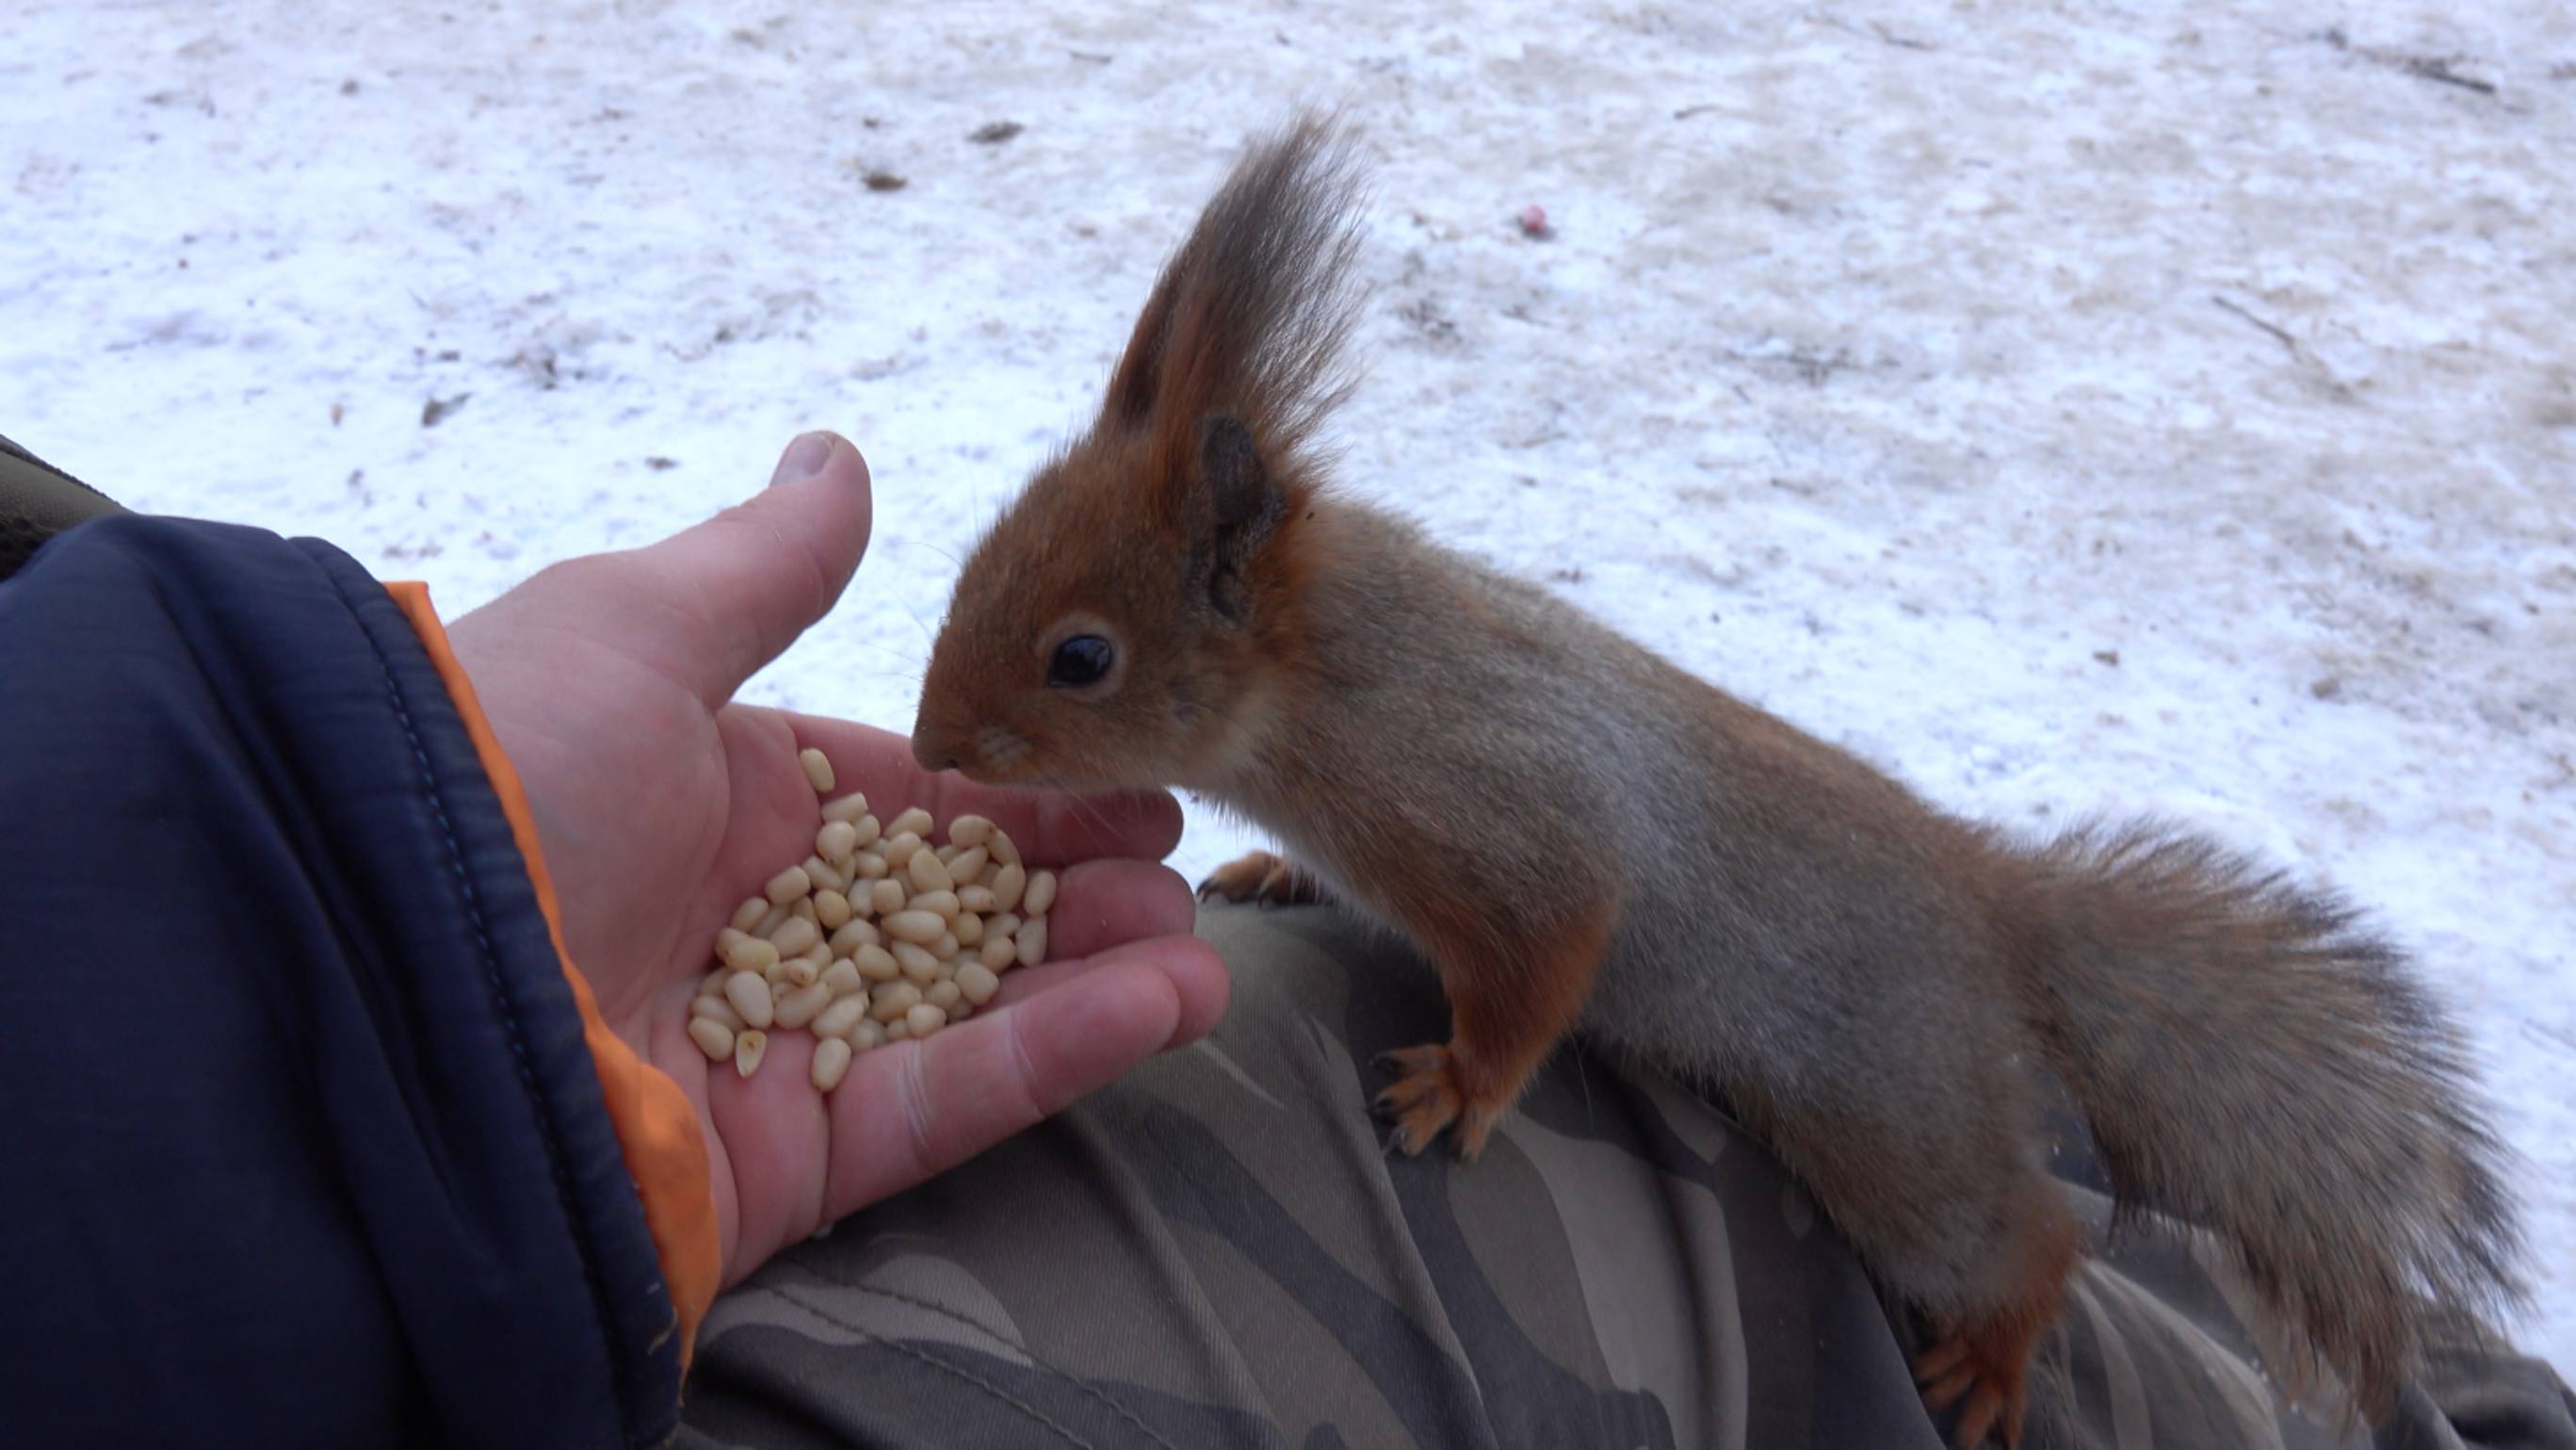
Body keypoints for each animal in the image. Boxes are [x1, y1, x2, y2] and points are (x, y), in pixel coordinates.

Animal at [906, 116, 2514, 1450]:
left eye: (1080, 656)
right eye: (976, 549)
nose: (927, 746)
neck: (1330, 685)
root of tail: (1995, 916)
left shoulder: (1505, 817)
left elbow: (1547, 958)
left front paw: (1458, 1087)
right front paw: (1270, 867)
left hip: (1896, 1130)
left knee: (2030, 1235)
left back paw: (1992, 1360)